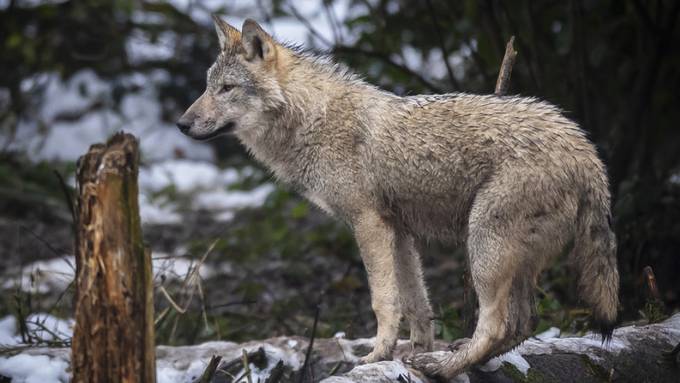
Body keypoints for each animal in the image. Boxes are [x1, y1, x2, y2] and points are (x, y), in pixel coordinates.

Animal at [177, 16, 620, 380]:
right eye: (207, 86)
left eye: (227, 89)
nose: (181, 124)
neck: (313, 120)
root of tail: (585, 150)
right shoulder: (400, 231)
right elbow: (417, 304)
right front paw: (410, 352)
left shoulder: (368, 224)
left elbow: (383, 301)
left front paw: (377, 355)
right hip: (511, 260)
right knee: (523, 323)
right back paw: (451, 358)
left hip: (483, 248)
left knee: (497, 325)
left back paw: (443, 367)